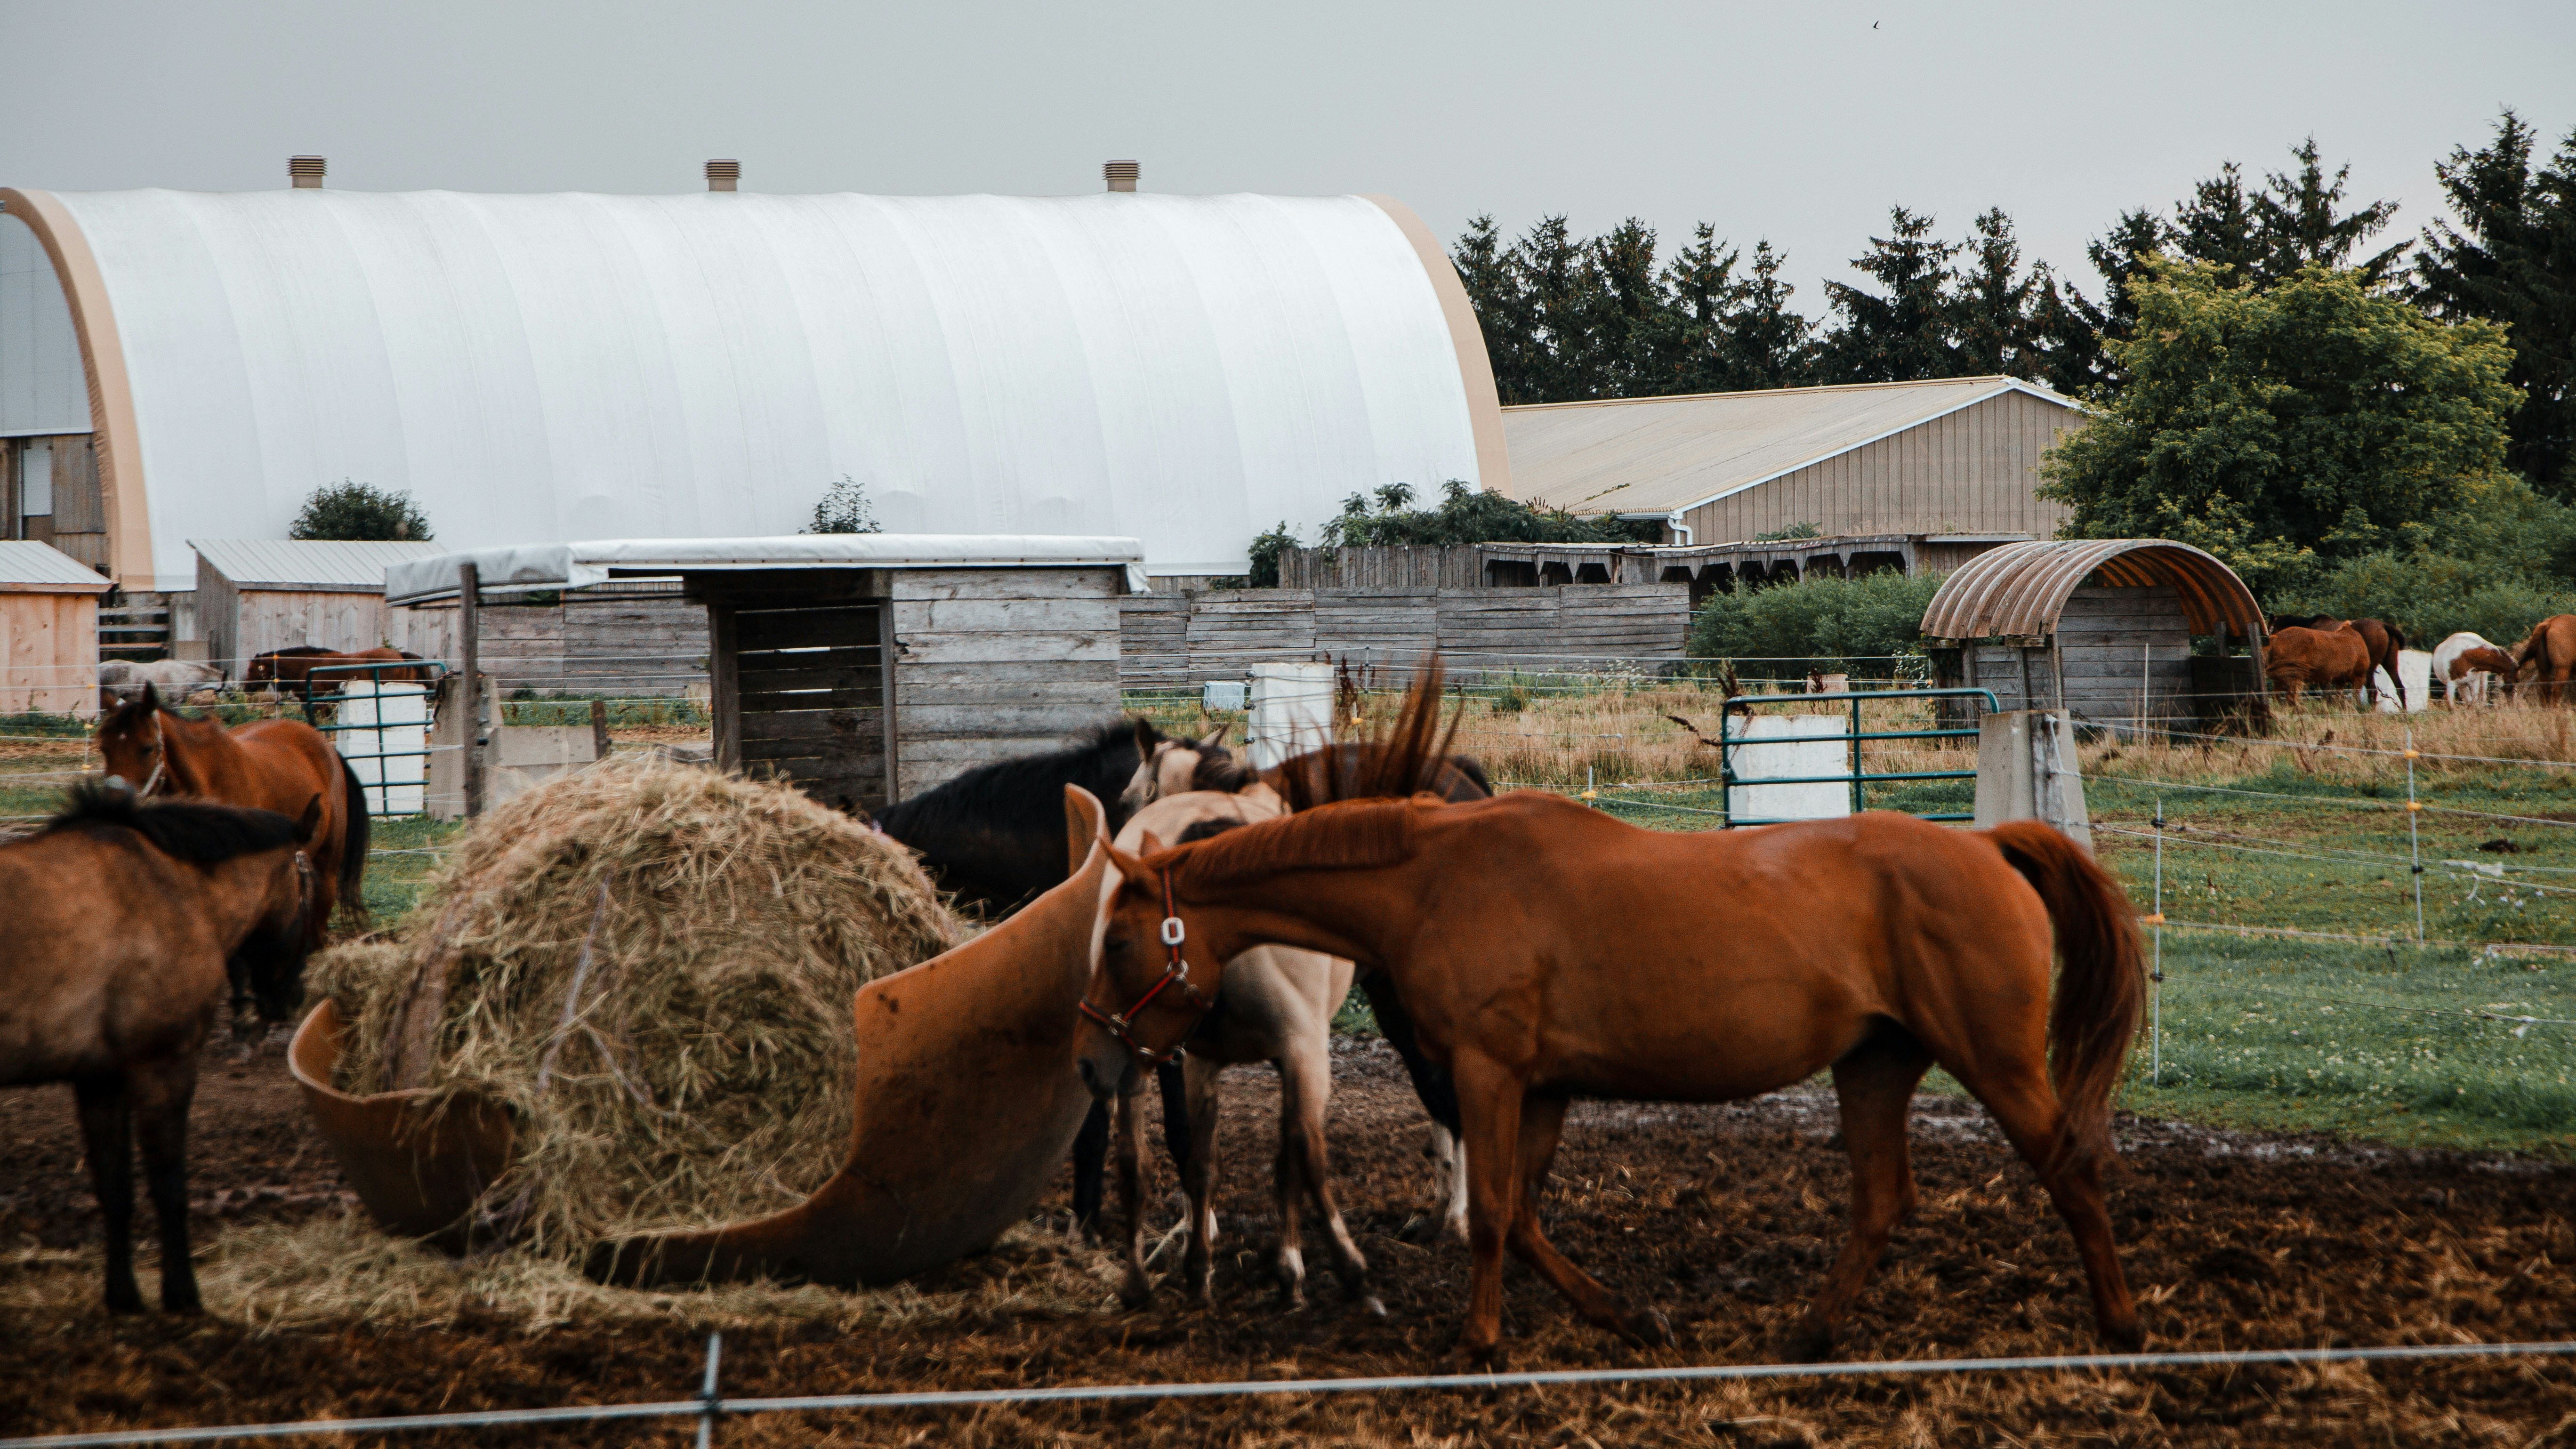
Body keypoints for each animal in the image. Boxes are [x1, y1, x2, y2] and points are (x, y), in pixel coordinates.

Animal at [0, 782, 320, 1313]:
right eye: (311, 890)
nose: (290, 997)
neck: (169, 884)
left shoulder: (101, 1080)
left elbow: (116, 1191)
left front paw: (123, 1296)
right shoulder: (164, 1067)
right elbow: (169, 1188)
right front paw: (182, 1294)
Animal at [94, 687, 370, 1035]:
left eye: (146, 748)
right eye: (104, 747)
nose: (109, 806)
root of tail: (326, 747)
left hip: (327, 870)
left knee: (318, 930)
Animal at [1104, 791, 1380, 1316]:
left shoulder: (1245, 1059)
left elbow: (1241, 1161)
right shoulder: (1292, 1054)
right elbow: (1289, 1157)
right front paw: (1312, 1271)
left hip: (1145, 1055)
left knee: (1134, 1159)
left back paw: (1136, 1282)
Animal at [2263, 624, 2375, 708]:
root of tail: (2274, 639)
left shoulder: (2339, 680)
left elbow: (2339, 698)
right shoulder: (2359, 675)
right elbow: (2355, 698)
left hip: (2280, 678)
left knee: (2277, 697)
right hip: (2294, 675)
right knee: (2291, 698)